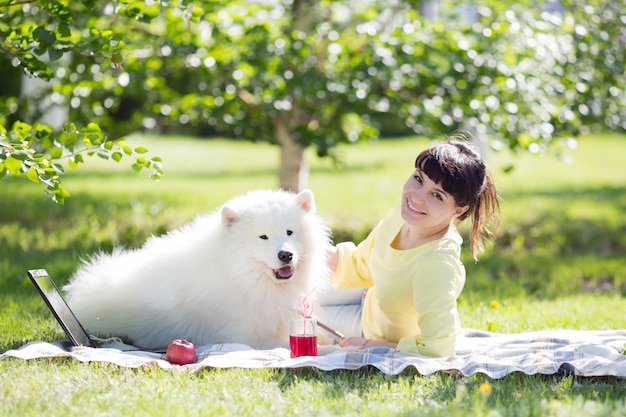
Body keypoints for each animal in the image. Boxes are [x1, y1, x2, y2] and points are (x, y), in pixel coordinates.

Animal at [63, 190, 332, 350]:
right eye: (263, 237)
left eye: (289, 232)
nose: (285, 255)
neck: (238, 274)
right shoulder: (242, 336)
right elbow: (286, 344)